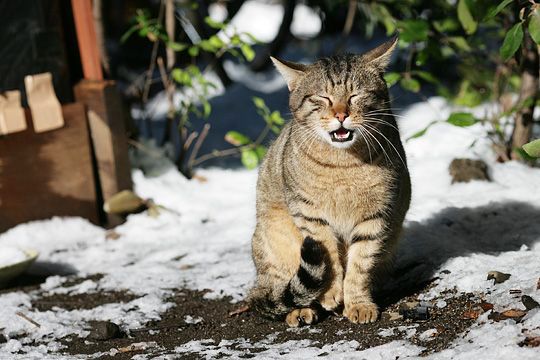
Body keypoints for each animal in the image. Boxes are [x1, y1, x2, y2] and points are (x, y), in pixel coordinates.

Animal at [248, 38, 410, 328]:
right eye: (322, 98)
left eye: (355, 95)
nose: (341, 115)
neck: (343, 166)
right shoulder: (310, 214)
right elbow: (329, 256)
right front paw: (331, 293)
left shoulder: (376, 215)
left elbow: (360, 265)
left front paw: (358, 303)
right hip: (272, 241)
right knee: (280, 291)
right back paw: (300, 309)